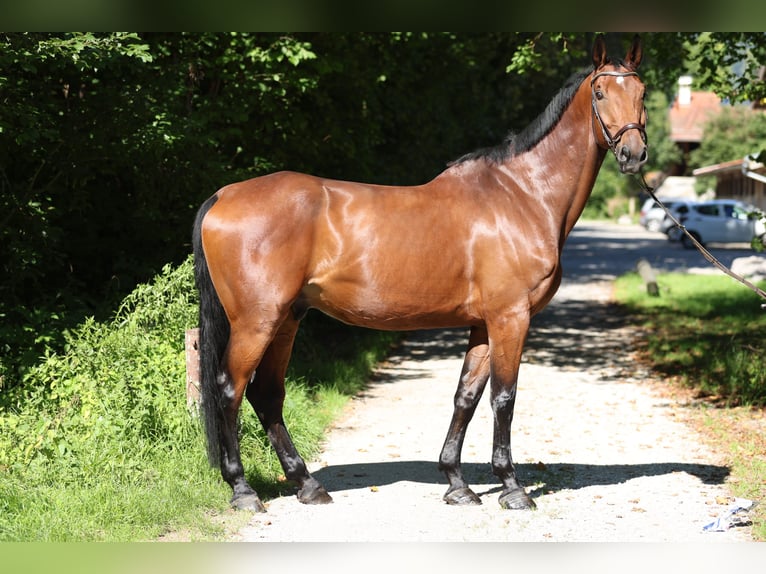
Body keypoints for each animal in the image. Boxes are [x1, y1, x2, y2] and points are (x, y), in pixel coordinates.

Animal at [192, 34, 647, 512]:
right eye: (600, 93)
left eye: (641, 92)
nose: (634, 154)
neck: (523, 195)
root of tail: (223, 195)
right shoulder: (511, 318)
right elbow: (504, 398)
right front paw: (512, 487)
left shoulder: (483, 325)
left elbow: (466, 397)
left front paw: (457, 484)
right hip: (256, 322)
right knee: (229, 389)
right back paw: (243, 490)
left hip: (287, 319)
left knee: (267, 394)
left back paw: (308, 485)